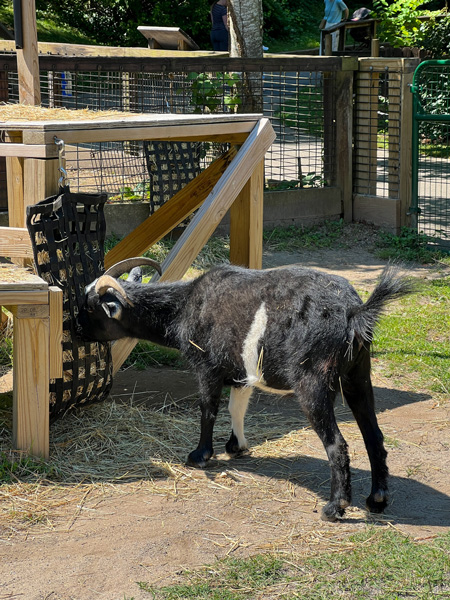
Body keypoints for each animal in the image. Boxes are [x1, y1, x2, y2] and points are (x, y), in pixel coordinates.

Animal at [78, 258, 412, 520]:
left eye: (91, 308)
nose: (77, 331)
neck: (184, 306)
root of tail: (355, 312)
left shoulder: (208, 367)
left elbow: (209, 409)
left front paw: (199, 455)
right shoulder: (241, 373)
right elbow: (236, 407)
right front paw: (236, 446)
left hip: (313, 381)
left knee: (337, 444)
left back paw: (335, 507)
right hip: (357, 375)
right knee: (373, 435)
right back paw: (377, 499)